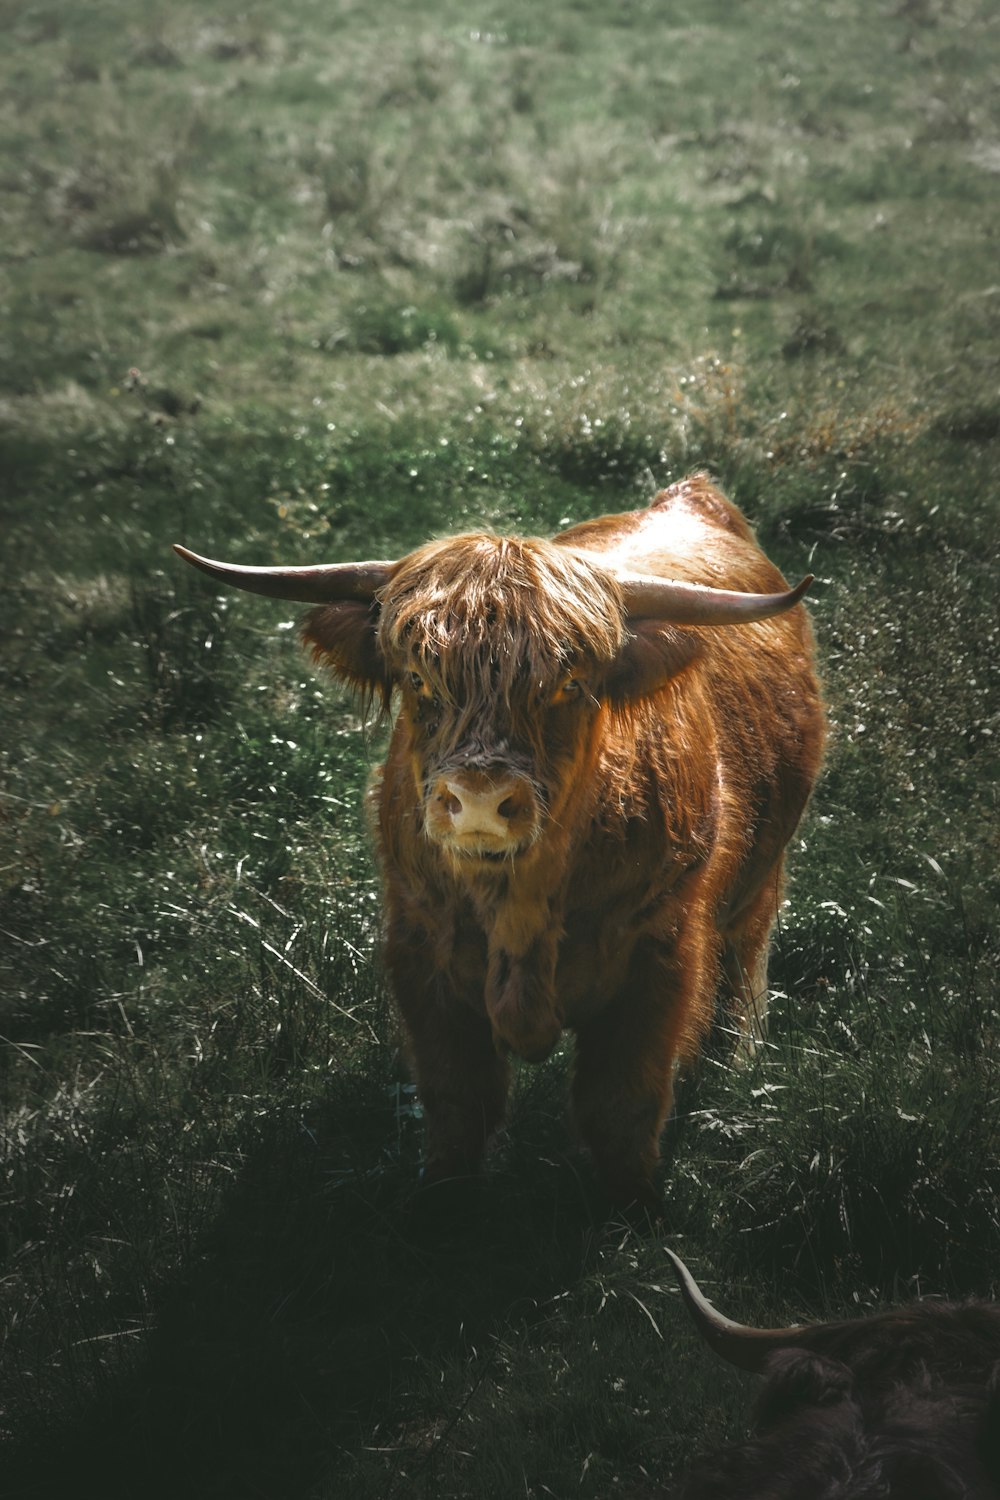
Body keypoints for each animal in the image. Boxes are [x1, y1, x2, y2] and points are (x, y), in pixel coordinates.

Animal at [176, 477, 827, 1206]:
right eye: (418, 678)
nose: (481, 801)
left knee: (746, 953)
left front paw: (635, 1210)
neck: (519, 901)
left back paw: (736, 1055)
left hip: (762, 871)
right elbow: (458, 1102)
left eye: (570, 683)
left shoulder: (662, 954)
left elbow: (622, 1107)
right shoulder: (419, 950)